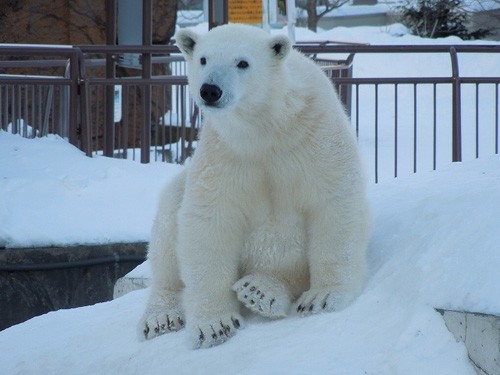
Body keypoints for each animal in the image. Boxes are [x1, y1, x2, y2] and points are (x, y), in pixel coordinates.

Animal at [138, 25, 372, 352]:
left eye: (242, 63)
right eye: (203, 59)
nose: (210, 90)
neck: (266, 127)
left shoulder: (315, 137)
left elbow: (333, 200)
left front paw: (323, 297)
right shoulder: (226, 153)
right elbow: (209, 219)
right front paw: (214, 325)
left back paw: (262, 290)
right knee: (169, 221)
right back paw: (162, 315)